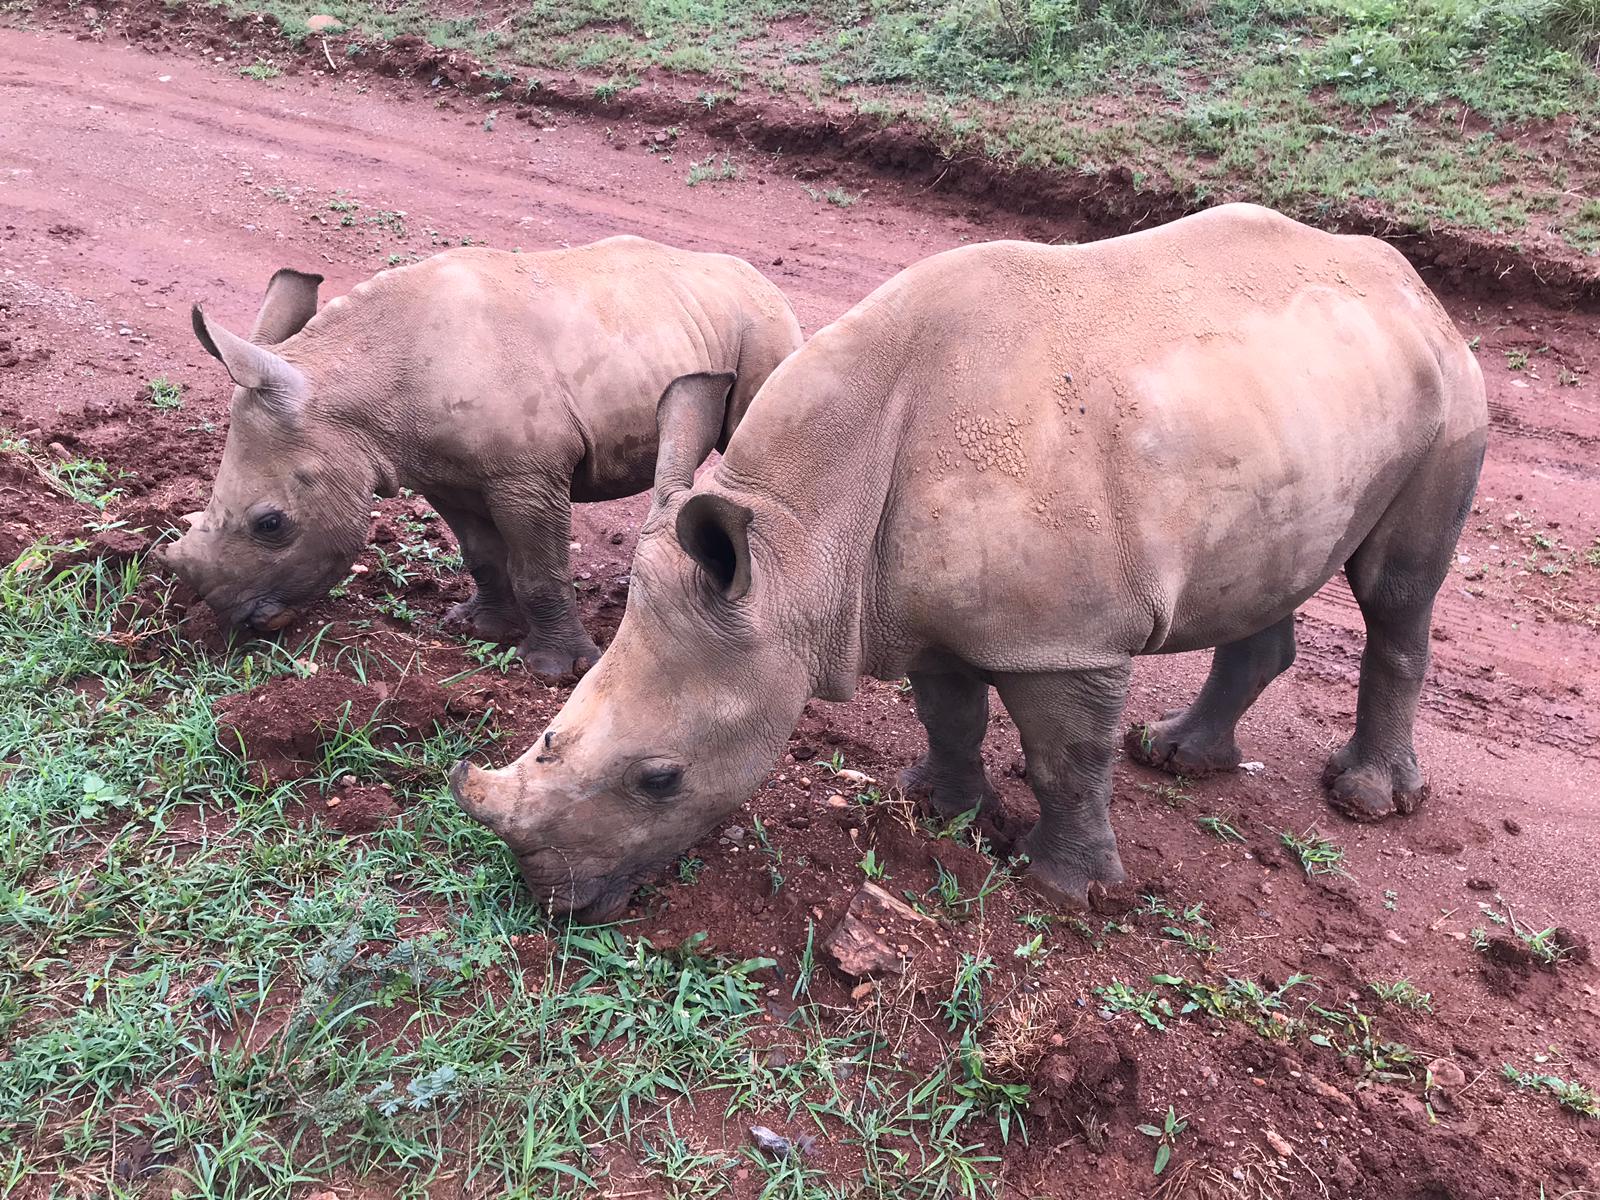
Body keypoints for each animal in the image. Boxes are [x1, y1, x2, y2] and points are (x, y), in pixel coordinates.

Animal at [159, 237, 802, 676]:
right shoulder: (441, 472)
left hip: (763, 321)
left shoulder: (528, 474)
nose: (236, 623)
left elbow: (539, 567)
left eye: (271, 524)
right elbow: (483, 555)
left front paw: (554, 670)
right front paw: (482, 631)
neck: (359, 388)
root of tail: (759, 277)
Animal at [450, 204, 1488, 922]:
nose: (547, 899)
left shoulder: (1066, 638)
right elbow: (946, 711)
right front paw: (940, 812)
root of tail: (1411, 283)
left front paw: (1067, 892)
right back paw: (1177, 758)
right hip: (1290, 398)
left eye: (659, 780)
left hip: (1448, 391)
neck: (796, 547)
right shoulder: (905, 600)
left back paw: (1367, 802)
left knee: (1397, 591)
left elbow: (1067, 758)